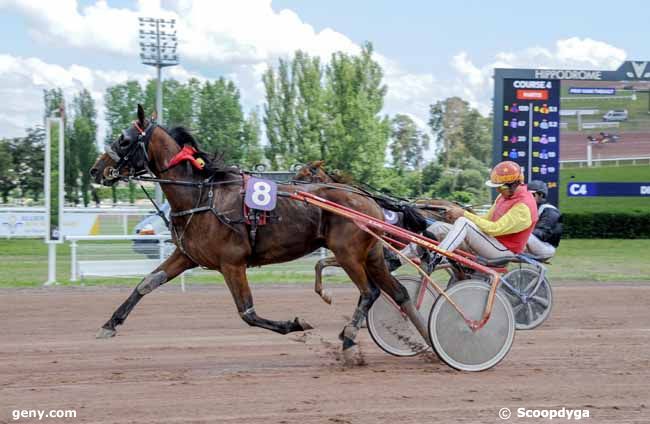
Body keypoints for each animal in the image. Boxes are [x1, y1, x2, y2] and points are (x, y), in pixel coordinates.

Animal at [90, 106, 426, 362]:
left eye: (123, 140)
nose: (95, 170)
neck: (201, 196)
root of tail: (366, 197)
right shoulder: (186, 256)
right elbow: (146, 284)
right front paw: (109, 324)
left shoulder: (232, 263)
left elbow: (247, 313)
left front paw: (296, 324)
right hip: (372, 255)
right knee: (399, 293)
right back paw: (428, 343)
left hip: (348, 254)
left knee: (369, 292)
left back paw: (349, 340)